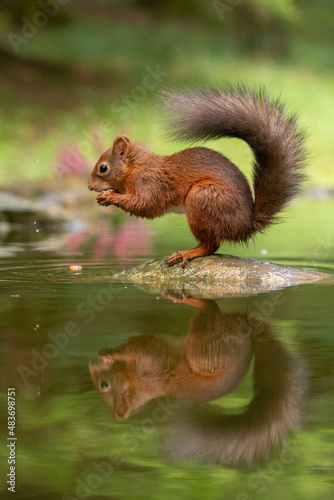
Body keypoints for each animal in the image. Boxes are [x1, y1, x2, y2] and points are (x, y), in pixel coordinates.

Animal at [88, 86, 306, 266]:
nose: (90, 186)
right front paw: (110, 193)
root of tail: (245, 224)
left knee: (211, 246)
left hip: (203, 198)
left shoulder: (148, 182)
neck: (136, 166)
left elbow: (145, 204)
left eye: (103, 168)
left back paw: (186, 253)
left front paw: (110, 196)